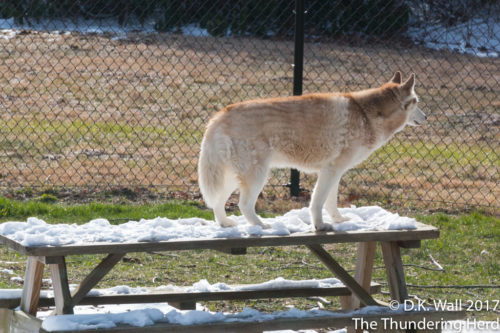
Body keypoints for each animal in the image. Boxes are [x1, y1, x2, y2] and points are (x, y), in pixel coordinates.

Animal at [199, 71, 426, 230]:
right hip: (256, 176)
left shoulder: (334, 172)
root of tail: (218, 115)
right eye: (417, 102)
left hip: (234, 177)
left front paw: (338, 220)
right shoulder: (331, 171)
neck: (366, 114)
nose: (426, 117)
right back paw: (261, 225)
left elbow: (331, 202)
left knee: (217, 202)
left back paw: (225, 224)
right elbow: (317, 202)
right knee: (244, 204)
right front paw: (320, 225)